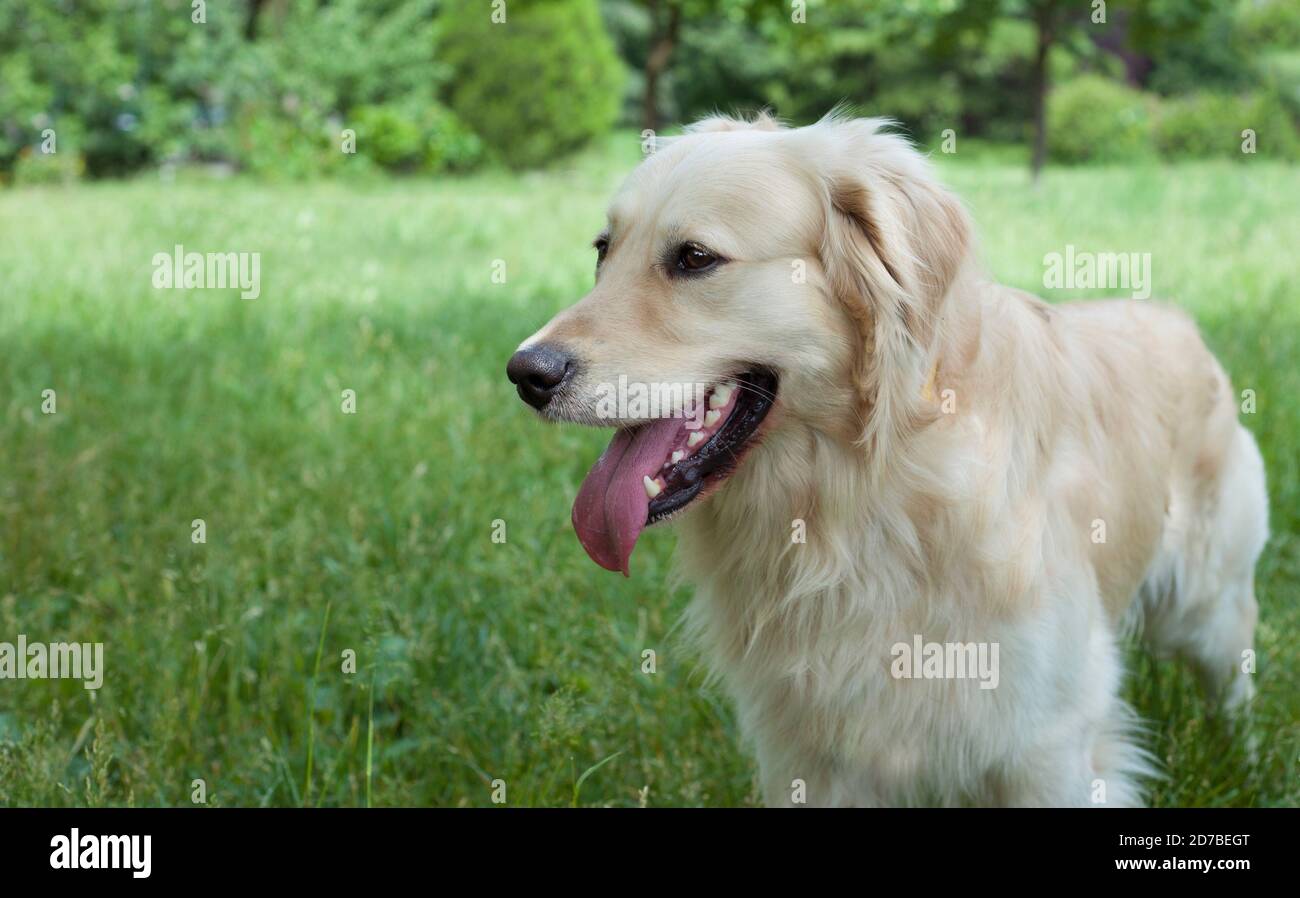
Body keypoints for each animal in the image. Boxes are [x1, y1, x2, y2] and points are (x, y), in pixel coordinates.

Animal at [506, 112, 1268, 805]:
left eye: (694, 257)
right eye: (603, 250)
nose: (524, 373)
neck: (860, 494)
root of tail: (1177, 320)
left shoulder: (1046, 739)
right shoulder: (812, 752)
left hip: (1208, 605)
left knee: (1234, 683)